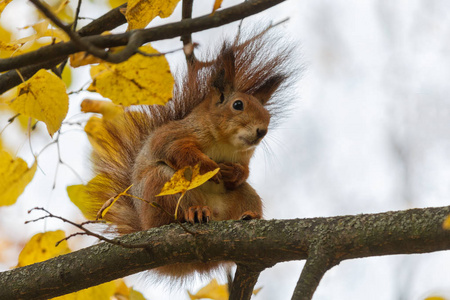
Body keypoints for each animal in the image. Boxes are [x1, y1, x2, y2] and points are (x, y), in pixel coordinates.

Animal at [86, 31, 294, 278]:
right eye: (238, 105)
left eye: (267, 114)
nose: (262, 131)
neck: (225, 143)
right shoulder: (175, 136)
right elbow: (178, 151)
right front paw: (208, 167)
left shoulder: (245, 156)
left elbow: (244, 171)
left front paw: (232, 172)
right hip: (162, 184)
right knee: (175, 210)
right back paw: (195, 212)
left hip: (244, 195)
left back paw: (250, 216)